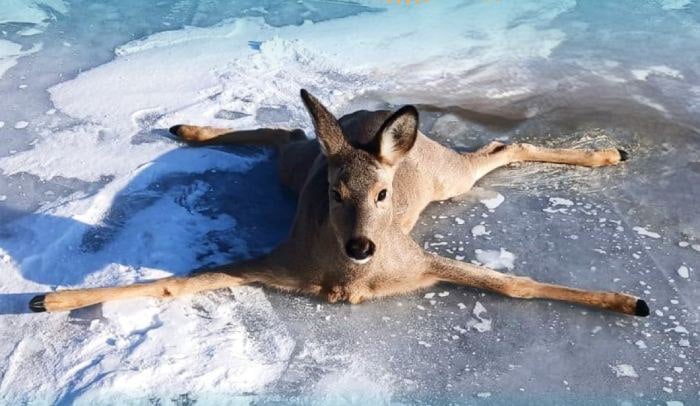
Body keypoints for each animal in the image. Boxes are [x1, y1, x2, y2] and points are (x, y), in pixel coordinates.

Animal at [28, 89, 652, 318]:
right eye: (334, 193)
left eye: (382, 193)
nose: (361, 245)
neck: (349, 280)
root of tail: (368, 119)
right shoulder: (276, 261)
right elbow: (174, 283)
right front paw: (50, 300)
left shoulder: (419, 260)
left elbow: (514, 284)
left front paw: (627, 301)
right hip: (299, 166)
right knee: (287, 133)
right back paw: (189, 129)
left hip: (445, 177)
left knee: (502, 147)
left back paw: (607, 153)